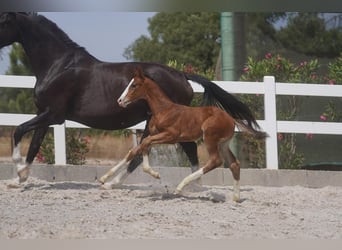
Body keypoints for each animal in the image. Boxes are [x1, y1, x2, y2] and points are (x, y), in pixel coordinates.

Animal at [0, 13, 260, 186]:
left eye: (3, 20)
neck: (59, 65)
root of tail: (181, 75)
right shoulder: (45, 114)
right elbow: (34, 144)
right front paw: (20, 178)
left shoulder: (54, 114)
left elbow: (19, 130)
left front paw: (16, 171)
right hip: (153, 124)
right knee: (143, 152)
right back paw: (116, 183)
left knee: (185, 149)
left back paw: (188, 186)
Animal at [99, 68, 268, 201]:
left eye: (134, 85)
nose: (120, 101)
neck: (163, 110)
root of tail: (231, 118)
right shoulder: (156, 135)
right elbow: (136, 150)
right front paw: (105, 179)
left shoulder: (171, 136)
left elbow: (145, 145)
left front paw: (154, 173)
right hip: (223, 144)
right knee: (234, 164)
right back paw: (236, 197)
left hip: (210, 138)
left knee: (215, 161)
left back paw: (181, 187)